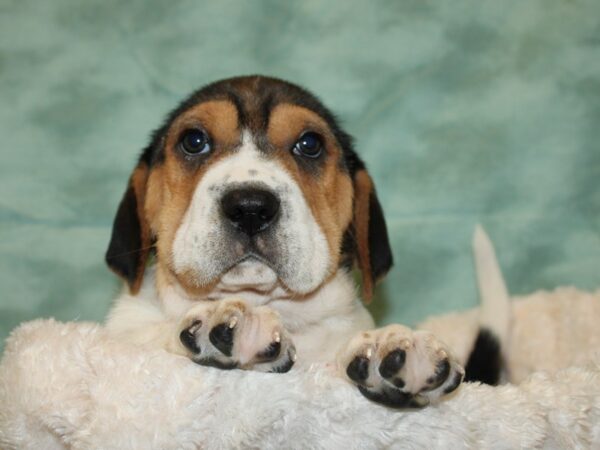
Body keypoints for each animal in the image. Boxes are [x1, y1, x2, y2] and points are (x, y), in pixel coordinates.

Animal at [105, 74, 464, 408]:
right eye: (193, 141)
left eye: (310, 143)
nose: (250, 208)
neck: (267, 301)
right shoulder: (123, 339)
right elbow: (148, 336)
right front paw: (231, 323)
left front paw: (393, 342)